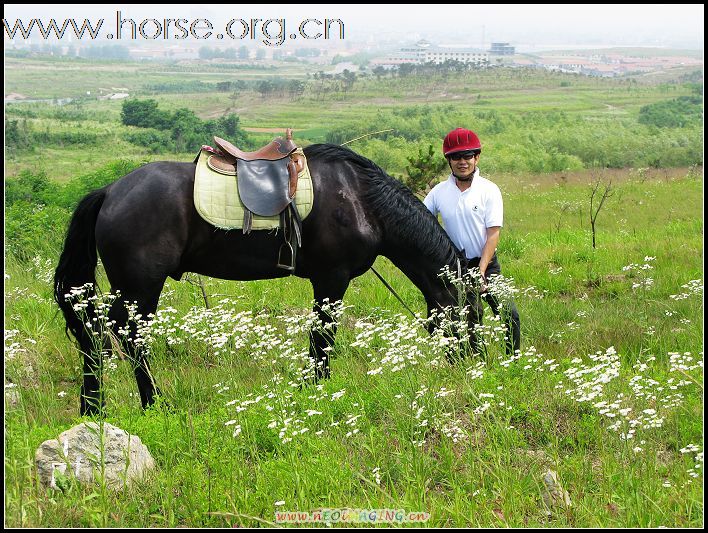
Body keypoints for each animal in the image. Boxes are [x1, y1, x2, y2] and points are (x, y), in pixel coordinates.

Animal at [54, 143, 464, 414]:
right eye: (468, 307)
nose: (470, 361)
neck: (361, 200)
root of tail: (110, 191)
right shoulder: (332, 279)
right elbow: (322, 337)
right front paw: (315, 386)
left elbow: (319, 337)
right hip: (140, 287)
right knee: (128, 339)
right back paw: (152, 403)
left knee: (96, 335)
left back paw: (94, 407)